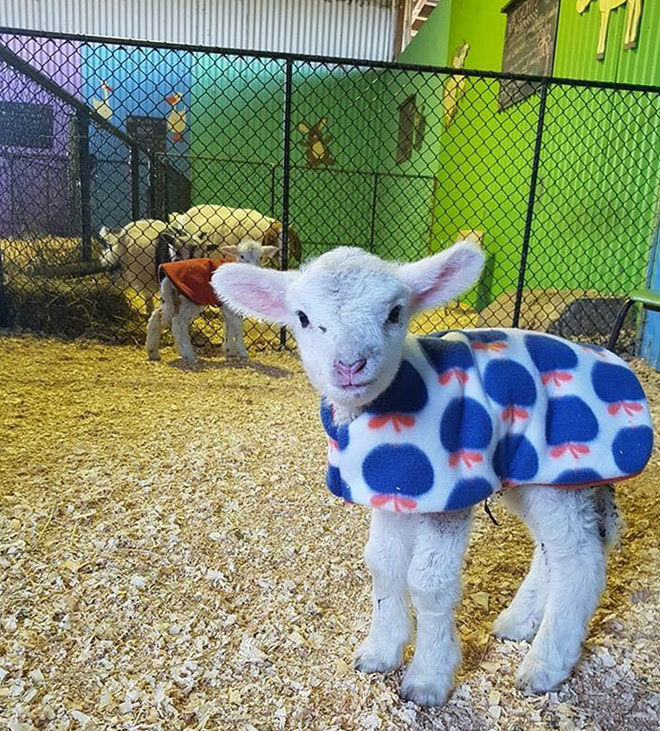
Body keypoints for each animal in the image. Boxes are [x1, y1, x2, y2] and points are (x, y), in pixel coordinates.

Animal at [146, 240, 276, 364]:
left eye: (261, 257)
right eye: (242, 256)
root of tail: (166, 278)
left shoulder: (226, 305)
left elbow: (229, 326)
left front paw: (230, 351)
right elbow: (238, 326)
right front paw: (242, 352)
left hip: (172, 298)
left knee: (157, 316)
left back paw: (153, 352)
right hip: (190, 299)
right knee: (178, 322)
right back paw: (188, 355)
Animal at [213, 244, 656, 708]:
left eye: (394, 312)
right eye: (301, 317)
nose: (350, 364)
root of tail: (610, 359)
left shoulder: (450, 492)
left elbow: (428, 583)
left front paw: (428, 677)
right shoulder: (393, 488)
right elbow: (382, 564)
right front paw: (381, 650)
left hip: (561, 464)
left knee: (580, 558)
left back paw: (544, 665)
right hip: (529, 472)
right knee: (550, 549)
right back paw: (519, 623)